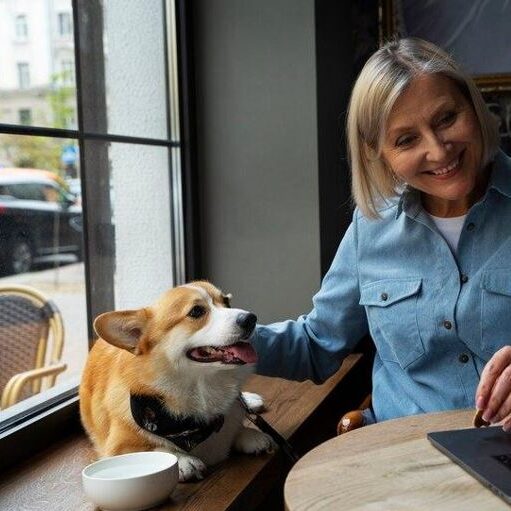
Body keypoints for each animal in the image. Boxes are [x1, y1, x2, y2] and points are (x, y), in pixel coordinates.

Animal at [79, 282, 276, 482]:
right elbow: (155, 449)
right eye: (196, 311)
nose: (251, 318)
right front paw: (183, 461)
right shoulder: (117, 448)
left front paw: (249, 434)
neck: (202, 385)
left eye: (227, 301)